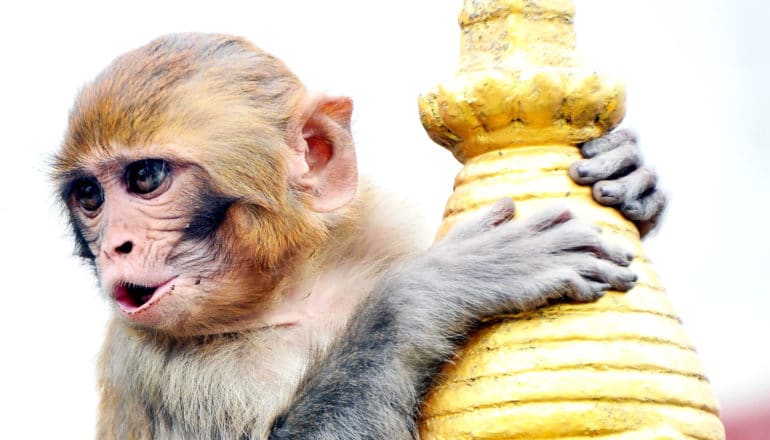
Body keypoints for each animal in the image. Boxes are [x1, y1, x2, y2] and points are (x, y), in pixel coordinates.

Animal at [54, 32, 664, 438]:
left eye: (145, 178)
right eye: (90, 196)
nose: (116, 246)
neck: (289, 291)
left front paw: (630, 171)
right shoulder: (151, 367)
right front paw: (430, 290)